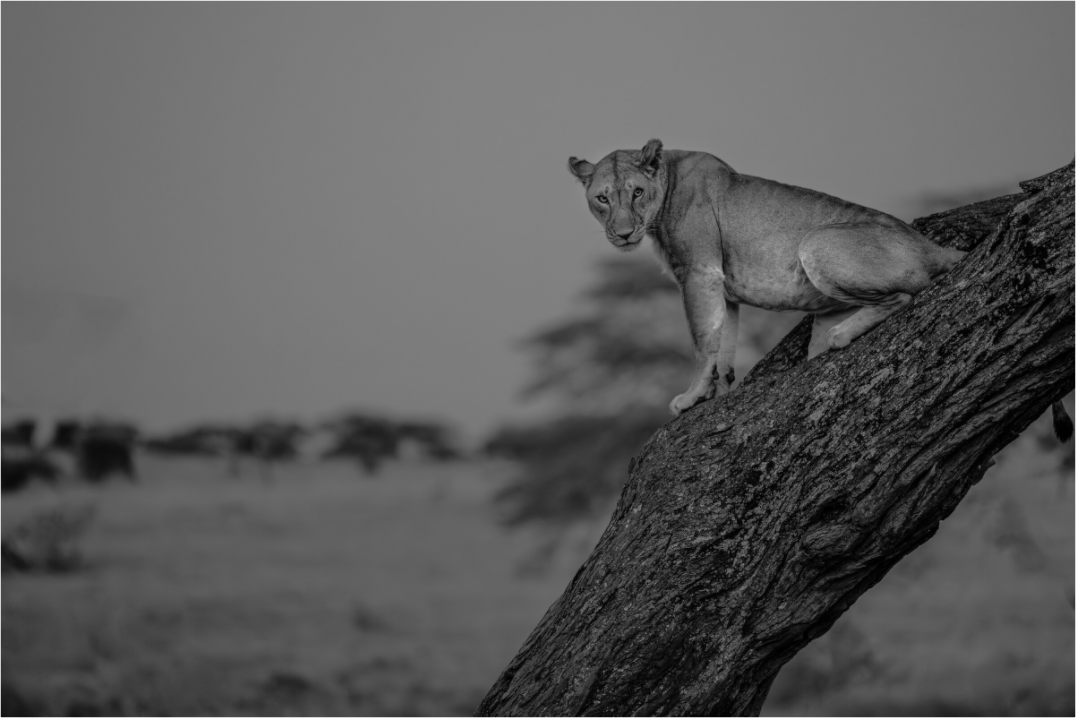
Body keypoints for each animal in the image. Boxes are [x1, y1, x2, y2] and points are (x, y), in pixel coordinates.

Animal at [568, 139, 1072, 441]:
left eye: (636, 193)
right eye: (602, 198)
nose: (623, 234)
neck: (665, 187)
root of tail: (928, 244)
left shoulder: (698, 273)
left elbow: (702, 342)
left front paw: (690, 398)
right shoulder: (721, 286)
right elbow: (724, 346)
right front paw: (720, 396)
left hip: (816, 242)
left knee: (904, 295)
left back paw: (842, 336)